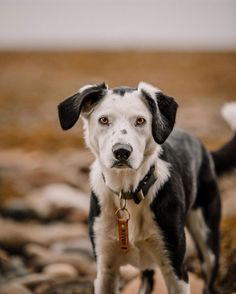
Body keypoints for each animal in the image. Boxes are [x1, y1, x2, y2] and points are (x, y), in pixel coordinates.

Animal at [57, 82, 236, 294]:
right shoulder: (105, 269)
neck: (128, 190)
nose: (121, 151)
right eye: (103, 120)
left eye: (140, 121)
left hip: (208, 242)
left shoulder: (176, 268)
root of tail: (205, 150)